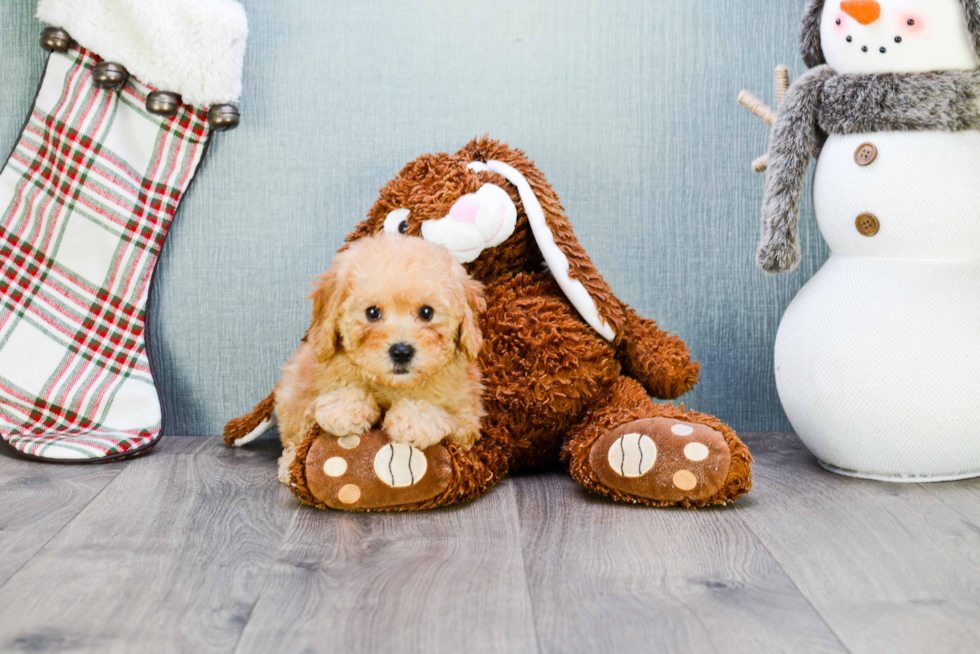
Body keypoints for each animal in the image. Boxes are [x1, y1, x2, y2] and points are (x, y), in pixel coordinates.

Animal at [272, 234, 486, 482]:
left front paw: (414, 420)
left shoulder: (468, 419)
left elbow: (446, 417)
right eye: (372, 312)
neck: (391, 386)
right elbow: (313, 412)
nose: (401, 352)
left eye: (427, 312)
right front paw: (346, 408)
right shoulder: (306, 390)